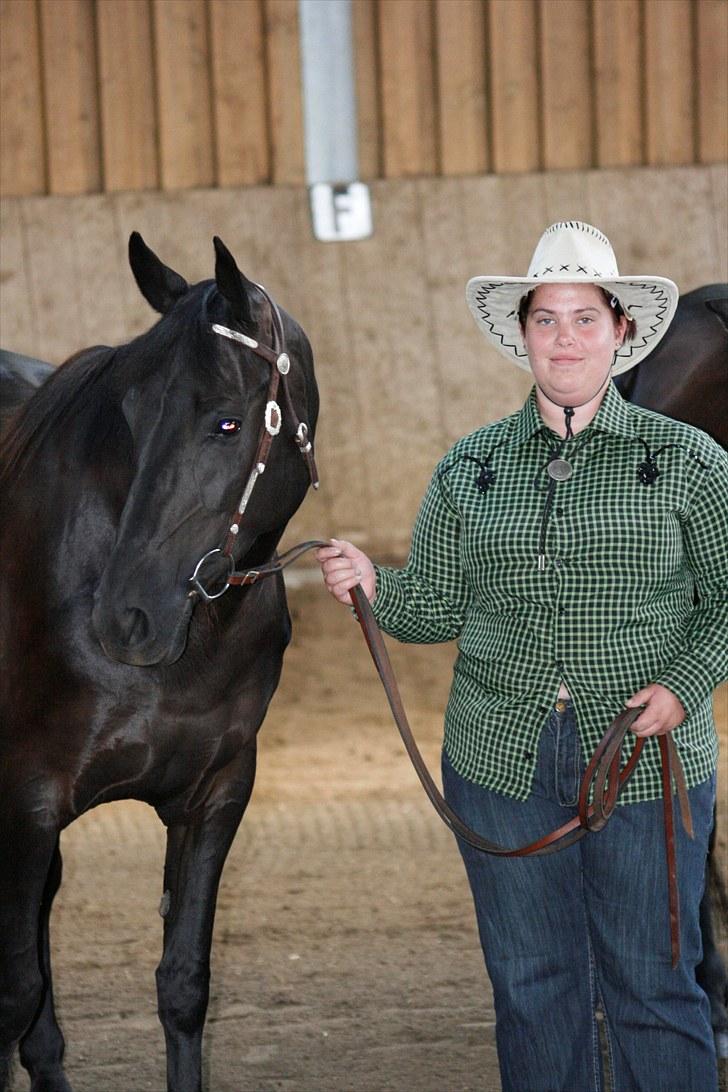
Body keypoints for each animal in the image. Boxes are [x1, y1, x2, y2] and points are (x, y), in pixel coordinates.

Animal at [0, 236, 318, 1092]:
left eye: (227, 422)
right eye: (130, 415)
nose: (126, 617)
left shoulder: (216, 794)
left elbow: (182, 986)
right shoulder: (26, 802)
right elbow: (14, 994)